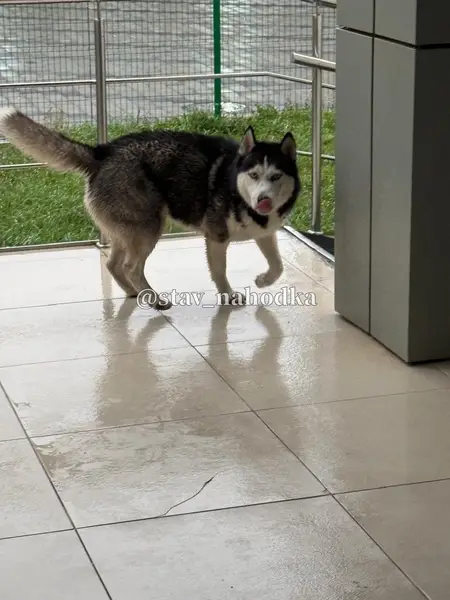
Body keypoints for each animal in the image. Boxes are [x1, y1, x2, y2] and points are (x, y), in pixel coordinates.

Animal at [0, 106, 301, 309]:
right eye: (254, 175)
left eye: (275, 176)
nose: (263, 200)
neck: (235, 187)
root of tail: (103, 152)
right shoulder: (216, 237)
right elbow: (219, 271)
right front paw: (227, 294)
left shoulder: (265, 233)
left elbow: (278, 266)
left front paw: (263, 280)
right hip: (149, 230)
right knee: (131, 267)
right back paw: (153, 298)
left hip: (127, 230)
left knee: (113, 263)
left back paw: (135, 292)